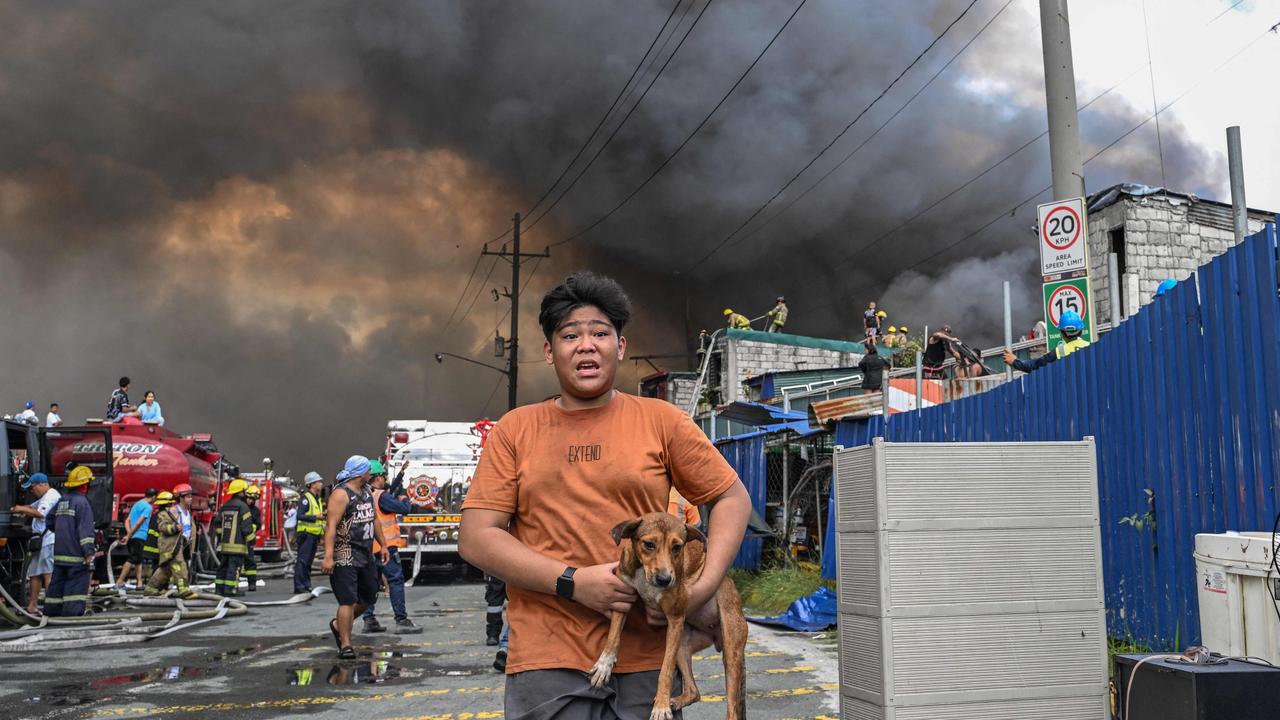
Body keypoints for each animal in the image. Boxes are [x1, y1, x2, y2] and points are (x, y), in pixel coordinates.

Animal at [588, 509, 747, 717]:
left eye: (677, 547)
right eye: (649, 544)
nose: (664, 579)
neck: (644, 574)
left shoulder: (675, 618)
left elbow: (665, 671)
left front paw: (661, 706)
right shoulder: (622, 597)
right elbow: (613, 636)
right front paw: (604, 666)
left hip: (730, 651)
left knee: (733, 710)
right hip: (682, 646)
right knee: (694, 692)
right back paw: (676, 701)